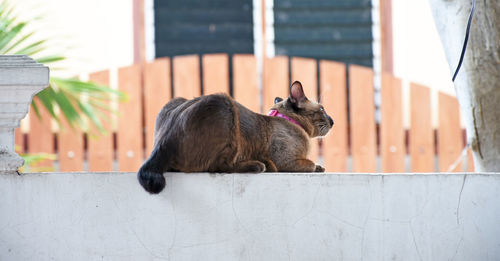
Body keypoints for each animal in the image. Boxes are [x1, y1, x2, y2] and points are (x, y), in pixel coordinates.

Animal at [138, 81, 332, 193]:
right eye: (322, 109)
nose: (333, 121)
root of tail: (163, 141)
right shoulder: (288, 161)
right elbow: (311, 164)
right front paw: (317, 167)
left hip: (177, 100)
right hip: (225, 105)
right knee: (218, 166)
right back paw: (262, 165)